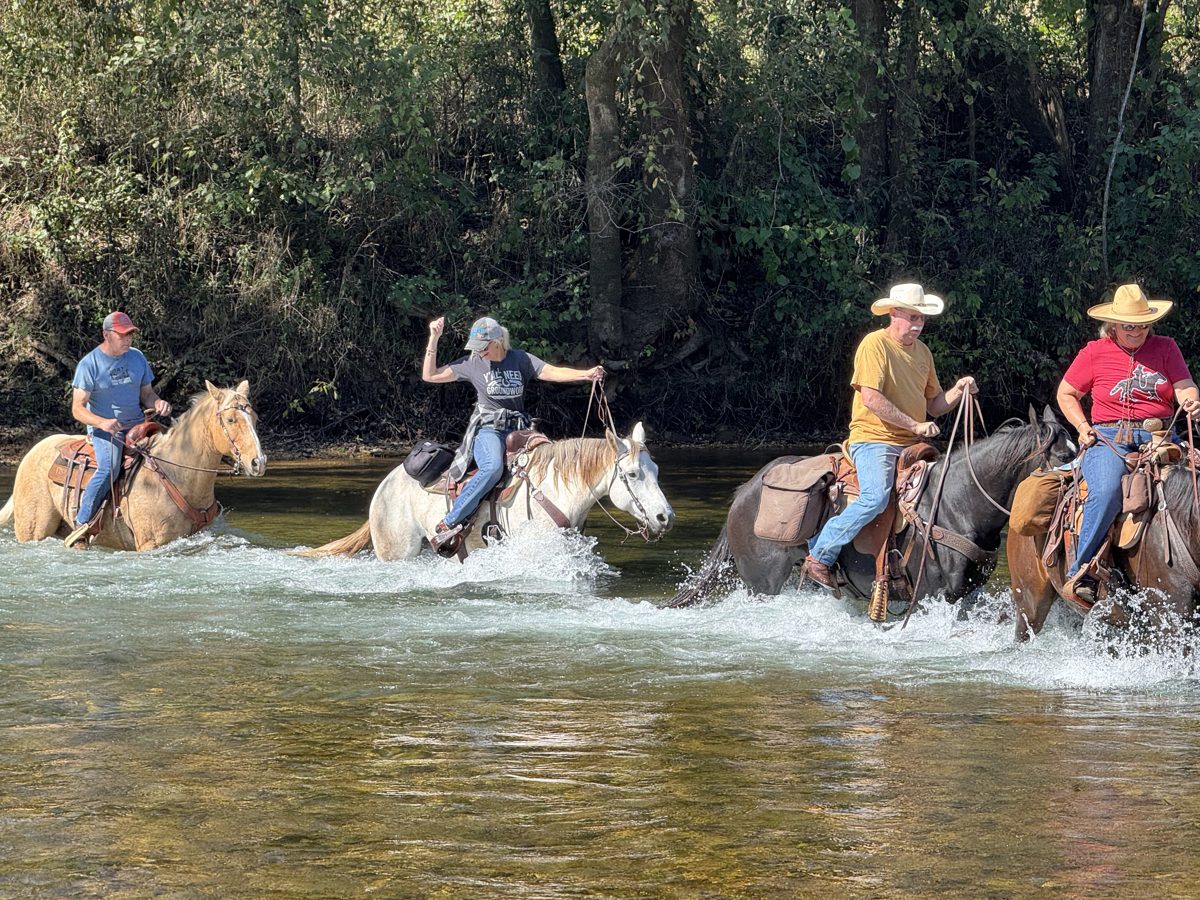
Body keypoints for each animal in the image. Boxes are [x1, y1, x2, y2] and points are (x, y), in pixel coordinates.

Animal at [0, 380, 266, 551]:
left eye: (254, 418)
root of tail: (31, 453)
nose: (258, 461)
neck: (177, 474)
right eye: (230, 419)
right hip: (32, 531)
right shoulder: (150, 544)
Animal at [301, 423, 674, 561]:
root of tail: (385, 486)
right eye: (632, 474)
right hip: (397, 553)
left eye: (656, 471)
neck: (553, 491)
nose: (665, 517)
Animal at [668, 407, 1075, 611]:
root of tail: (745, 492)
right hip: (762, 583)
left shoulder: (966, 593)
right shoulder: (929, 596)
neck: (957, 504)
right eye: (1061, 458)